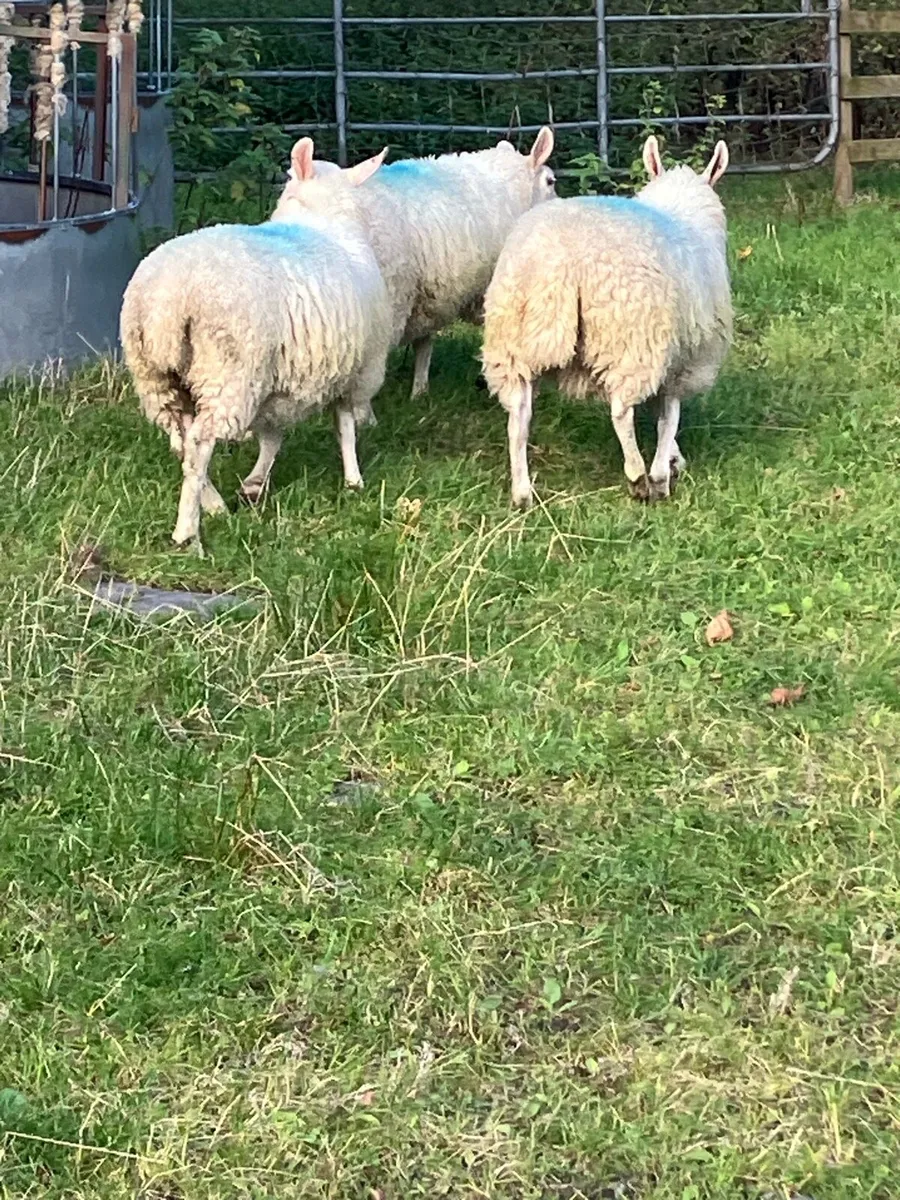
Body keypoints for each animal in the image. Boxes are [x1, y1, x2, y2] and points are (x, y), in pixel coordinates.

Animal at [120, 138, 393, 551]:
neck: (325, 220)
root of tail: (166, 299)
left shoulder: (276, 384)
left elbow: (272, 437)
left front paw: (254, 484)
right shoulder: (357, 371)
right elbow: (345, 427)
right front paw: (354, 480)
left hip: (160, 379)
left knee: (181, 441)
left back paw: (214, 504)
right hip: (227, 375)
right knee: (198, 446)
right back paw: (188, 531)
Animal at [481, 135, 732, 508]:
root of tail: (561, 262)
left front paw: (673, 459)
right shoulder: (686, 359)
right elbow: (668, 417)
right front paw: (663, 472)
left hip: (510, 346)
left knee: (518, 420)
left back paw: (522, 493)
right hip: (631, 340)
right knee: (620, 411)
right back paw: (638, 477)